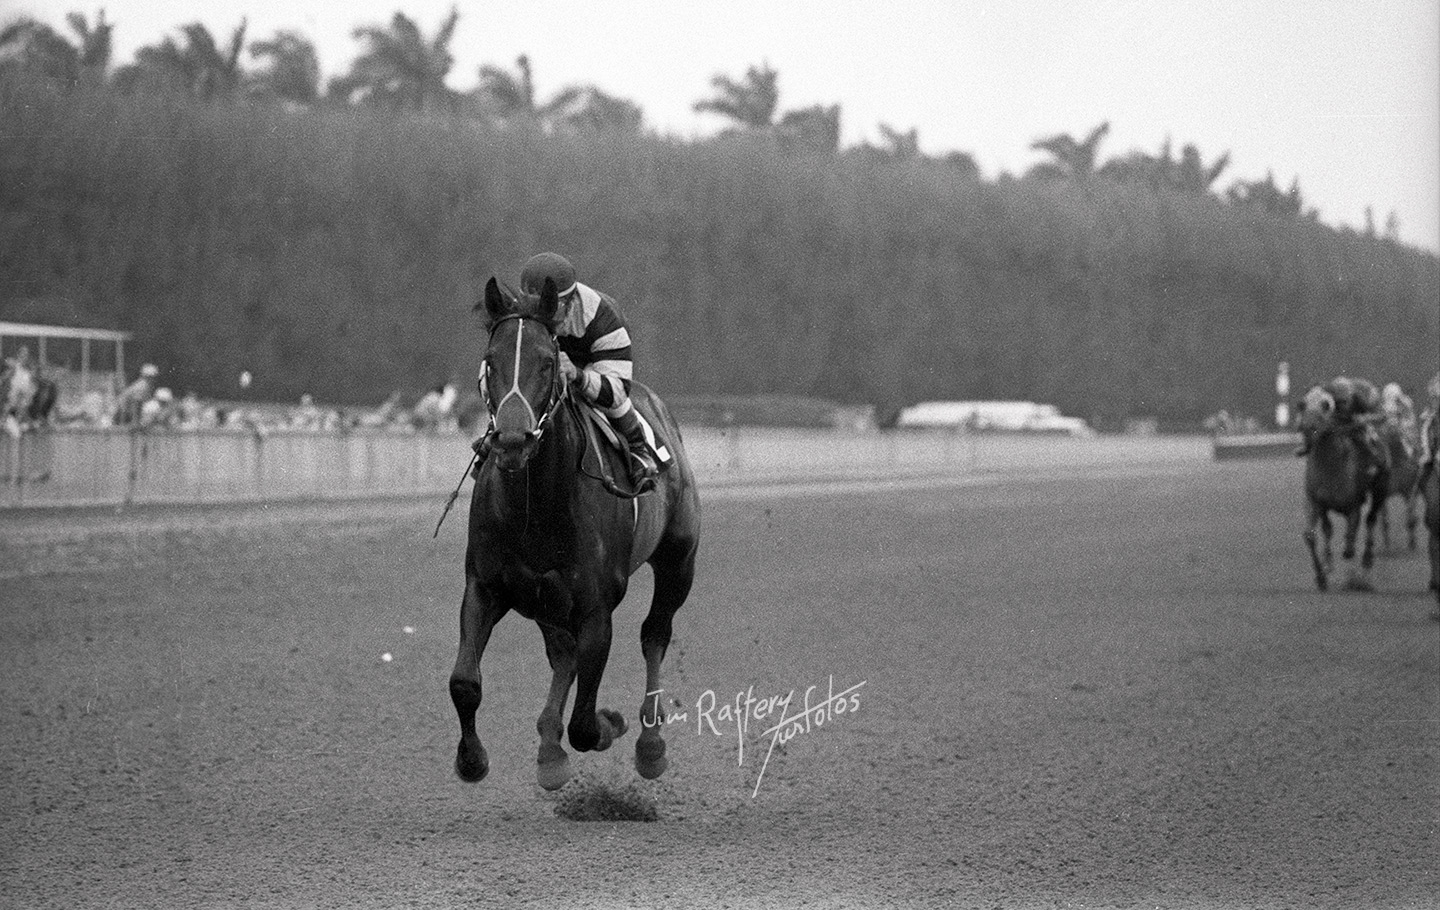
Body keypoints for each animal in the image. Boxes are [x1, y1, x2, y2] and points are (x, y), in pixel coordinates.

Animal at [446, 275, 699, 789]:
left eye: (548, 361)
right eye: (490, 360)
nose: (512, 439)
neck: (536, 506)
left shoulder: (596, 608)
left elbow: (585, 722)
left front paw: (610, 724)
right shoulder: (485, 585)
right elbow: (464, 682)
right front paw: (473, 760)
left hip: (679, 560)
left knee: (654, 634)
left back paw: (649, 742)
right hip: (544, 599)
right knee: (562, 654)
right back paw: (549, 749)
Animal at [1301, 388, 1388, 593]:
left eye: (1326, 405)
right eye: (1303, 404)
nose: (1307, 428)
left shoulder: (1353, 505)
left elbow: (1349, 543)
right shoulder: (1316, 502)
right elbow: (1313, 535)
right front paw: (1322, 575)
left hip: (1380, 490)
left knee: (1371, 519)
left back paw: (1367, 560)